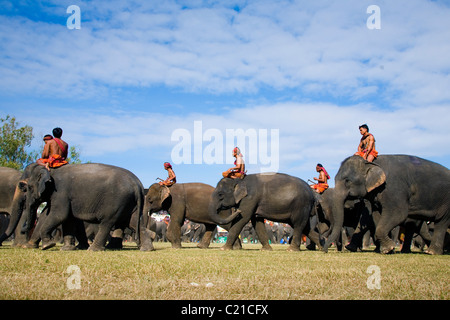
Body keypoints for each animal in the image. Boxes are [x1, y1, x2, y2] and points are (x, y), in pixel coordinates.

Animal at [0, 164, 154, 251]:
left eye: (27, 188)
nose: (25, 227)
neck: (51, 171)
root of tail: (137, 184)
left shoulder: (60, 192)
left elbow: (59, 215)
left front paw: (47, 245)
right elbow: (65, 217)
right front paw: (66, 249)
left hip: (116, 202)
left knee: (107, 222)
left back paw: (93, 249)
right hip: (129, 203)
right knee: (134, 222)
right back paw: (146, 249)